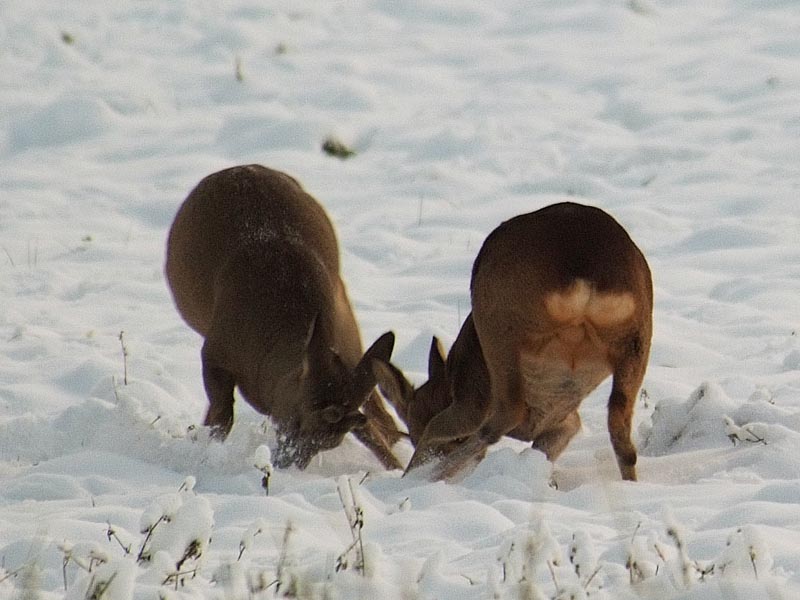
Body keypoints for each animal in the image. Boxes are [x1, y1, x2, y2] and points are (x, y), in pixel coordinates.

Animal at [166, 166, 404, 472]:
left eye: (330, 444)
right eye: (295, 418)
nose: (286, 464)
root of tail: (239, 168)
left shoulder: (350, 346)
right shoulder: (215, 350)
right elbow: (222, 415)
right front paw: (201, 450)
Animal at [376, 204, 648, 480]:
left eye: (412, 430)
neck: (449, 383)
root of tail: (584, 272)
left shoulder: (470, 399)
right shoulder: (564, 422)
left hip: (499, 324)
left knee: (502, 417)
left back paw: (424, 476)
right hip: (637, 339)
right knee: (622, 436)